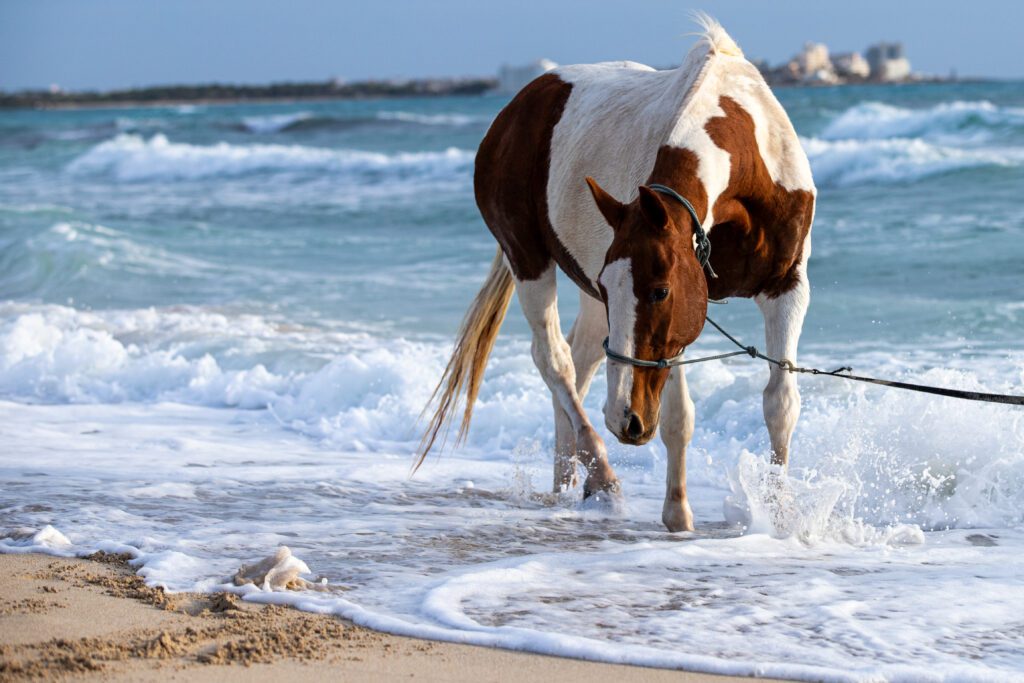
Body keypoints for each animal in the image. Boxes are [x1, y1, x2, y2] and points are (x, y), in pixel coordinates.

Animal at [415, 13, 815, 532]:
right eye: (625, 289)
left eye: (660, 291)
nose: (624, 418)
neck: (749, 158)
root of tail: (517, 108)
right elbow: (678, 418)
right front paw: (678, 514)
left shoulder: (786, 288)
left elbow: (780, 404)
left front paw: (781, 515)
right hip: (529, 261)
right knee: (555, 360)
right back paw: (601, 474)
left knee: (579, 362)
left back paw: (568, 481)